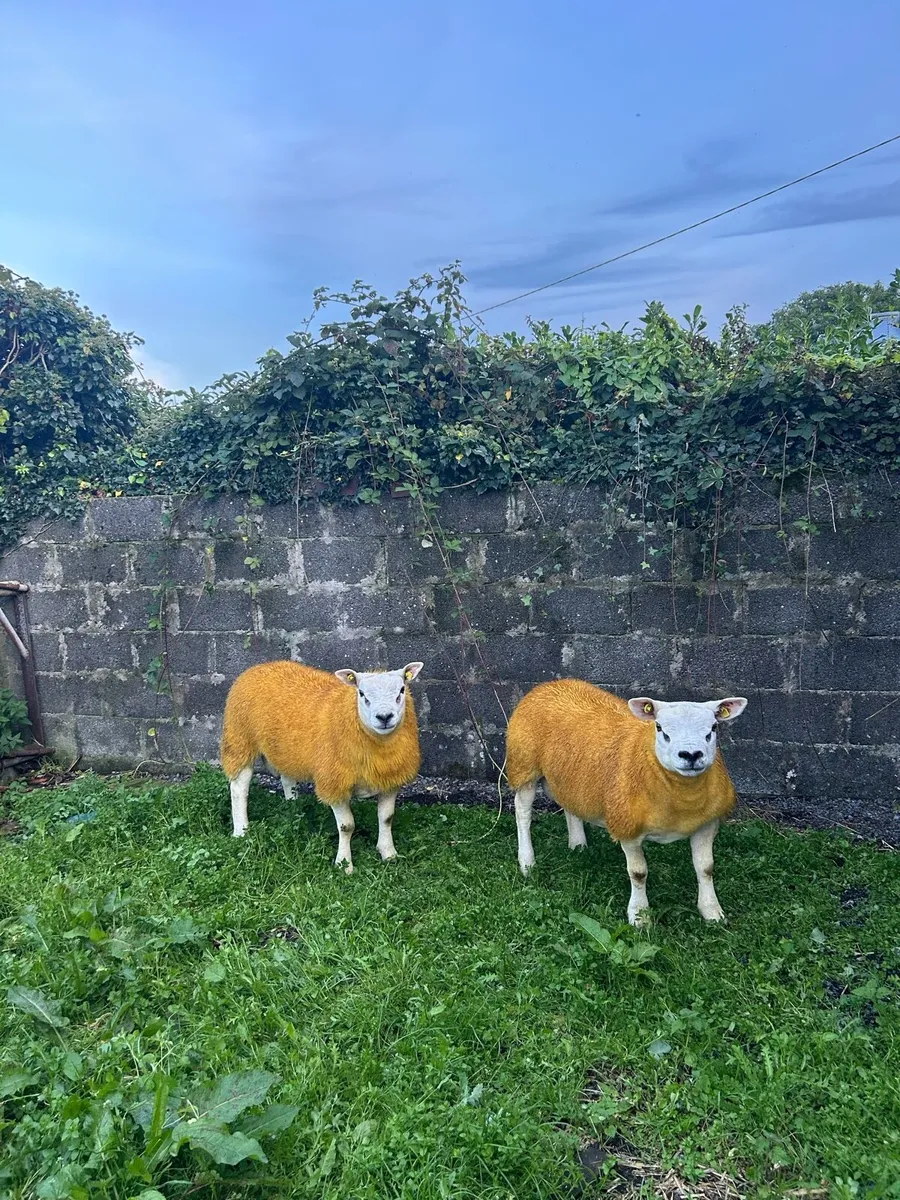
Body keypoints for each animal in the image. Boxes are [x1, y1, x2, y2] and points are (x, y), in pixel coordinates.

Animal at [220, 659, 424, 873]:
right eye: (361, 693)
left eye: (402, 690)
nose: (384, 717)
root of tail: (261, 666)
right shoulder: (333, 782)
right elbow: (347, 826)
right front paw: (344, 864)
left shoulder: (390, 780)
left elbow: (386, 818)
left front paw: (389, 854)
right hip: (240, 739)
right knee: (239, 788)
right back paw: (241, 830)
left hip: (286, 750)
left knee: (287, 779)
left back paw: (293, 808)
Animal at [505, 679, 748, 925]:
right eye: (660, 728)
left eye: (713, 728)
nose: (691, 755)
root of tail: (551, 684)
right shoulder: (627, 827)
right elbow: (638, 873)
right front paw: (640, 916)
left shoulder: (706, 824)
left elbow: (706, 868)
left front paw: (712, 912)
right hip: (524, 764)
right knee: (522, 812)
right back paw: (527, 863)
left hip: (570, 775)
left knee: (570, 803)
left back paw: (578, 845)